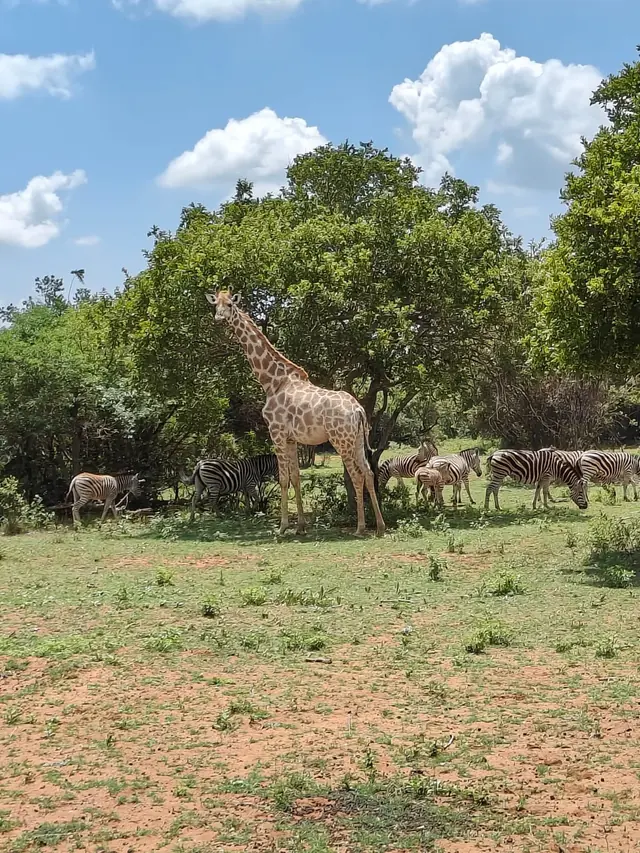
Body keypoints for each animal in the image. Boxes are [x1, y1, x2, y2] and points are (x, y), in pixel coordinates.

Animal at [206, 290, 386, 537]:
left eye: (230, 305)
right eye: (216, 305)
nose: (219, 319)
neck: (272, 382)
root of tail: (358, 410)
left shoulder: (277, 433)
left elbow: (283, 479)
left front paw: (282, 527)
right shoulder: (291, 439)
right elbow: (296, 478)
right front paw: (300, 526)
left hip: (341, 440)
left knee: (357, 476)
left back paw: (360, 528)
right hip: (357, 439)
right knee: (368, 473)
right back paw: (380, 526)